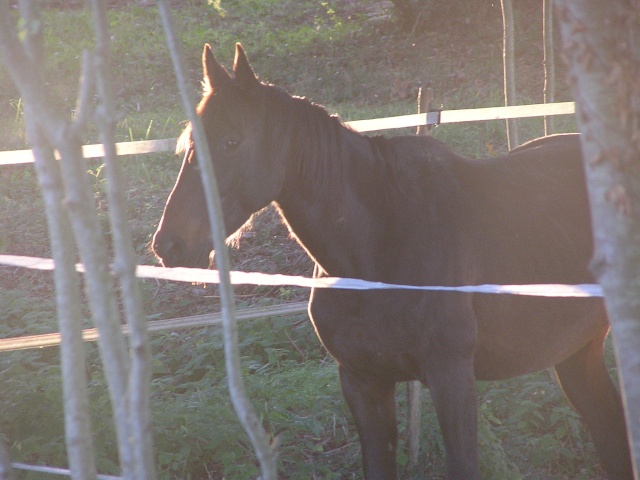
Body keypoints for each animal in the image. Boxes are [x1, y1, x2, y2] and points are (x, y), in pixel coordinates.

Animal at [152, 45, 632, 480]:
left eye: (232, 140)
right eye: (190, 143)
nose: (168, 245)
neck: (378, 246)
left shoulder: (452, 379)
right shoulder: (364, 382)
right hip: (577, 353)